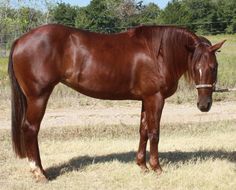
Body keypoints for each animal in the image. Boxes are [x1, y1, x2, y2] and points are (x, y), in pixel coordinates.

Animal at [7, 24, 225, 182]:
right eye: (195, 67)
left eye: (214, 67)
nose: (204, 105)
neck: (159, 54)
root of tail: (20, 40)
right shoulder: (155, 98)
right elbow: (154, 133)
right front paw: (157, 168)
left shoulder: (146, 99)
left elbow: (143, 131)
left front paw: (142, 166)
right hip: (38, 97)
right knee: (30, 129)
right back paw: (39, 173)